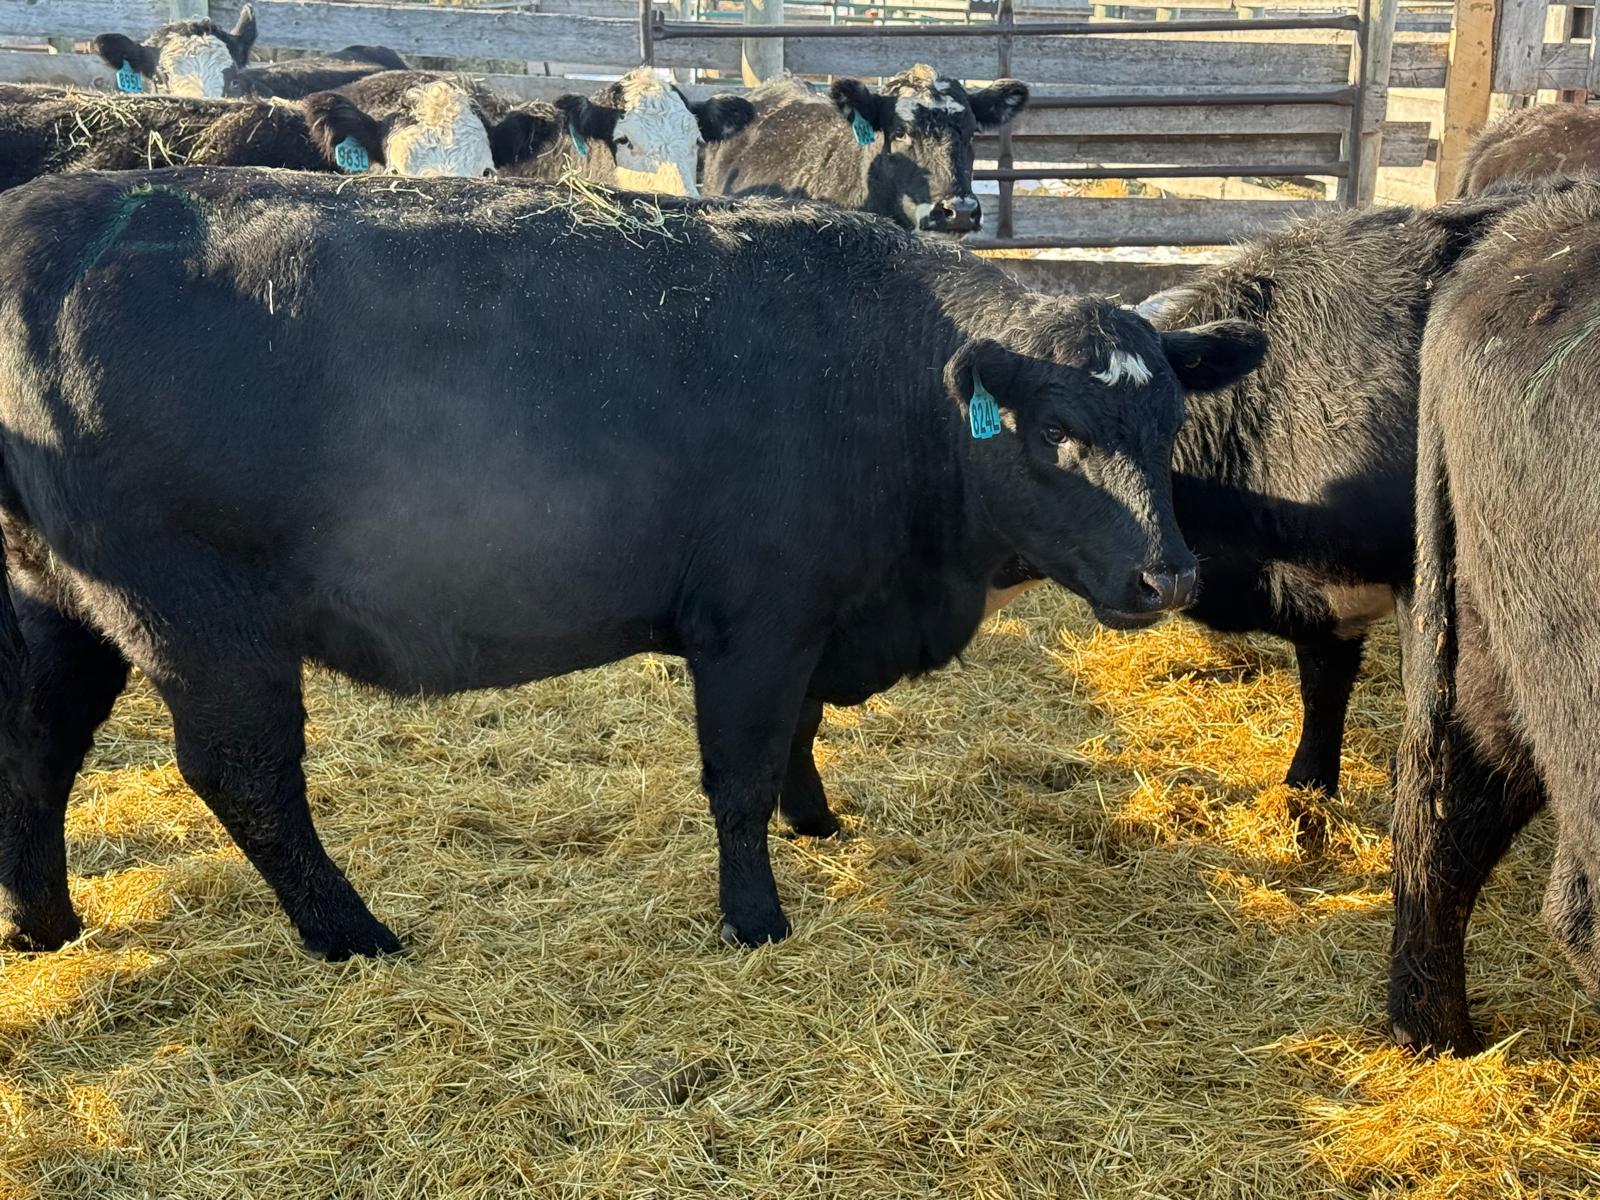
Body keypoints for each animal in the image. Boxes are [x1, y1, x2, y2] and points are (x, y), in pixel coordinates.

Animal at [0, 168, 1264, 959]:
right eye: (1055, 434)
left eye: (1167, 426)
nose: (1170, 578)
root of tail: (56, 205)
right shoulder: (756, 619)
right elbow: (740, 772)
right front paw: (755, 918)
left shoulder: (810, 619)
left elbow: (798, 735)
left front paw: (818, 823)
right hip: (200, 616)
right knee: (244, 778)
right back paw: (354, 935)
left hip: (57, 601)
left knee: (37, 749)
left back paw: (47, 923)